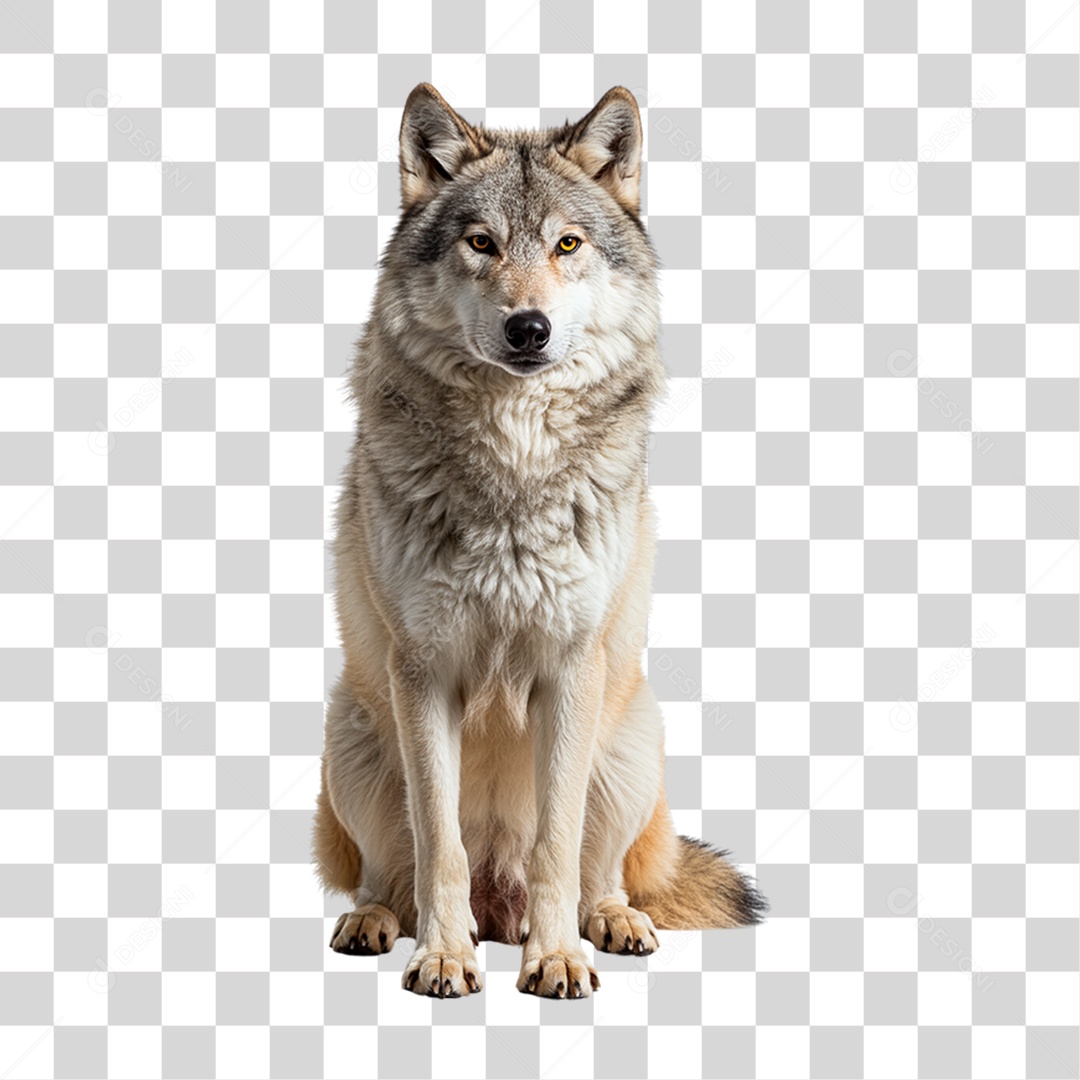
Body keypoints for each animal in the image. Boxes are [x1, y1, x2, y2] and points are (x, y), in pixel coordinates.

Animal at [314, 83, 766, 999]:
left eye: (567, 243)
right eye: (481, 243)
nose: (529, 328)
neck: (515, 468)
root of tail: (502, 907)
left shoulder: (570, 665)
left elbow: (558, 843)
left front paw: (556, 959)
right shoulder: (424, 670)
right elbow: (439, 844)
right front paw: (442, 959)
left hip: (631, 739)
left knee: (604, 872)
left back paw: (612, 923)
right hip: (352, 735)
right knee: (389, 873)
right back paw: (378, 922)